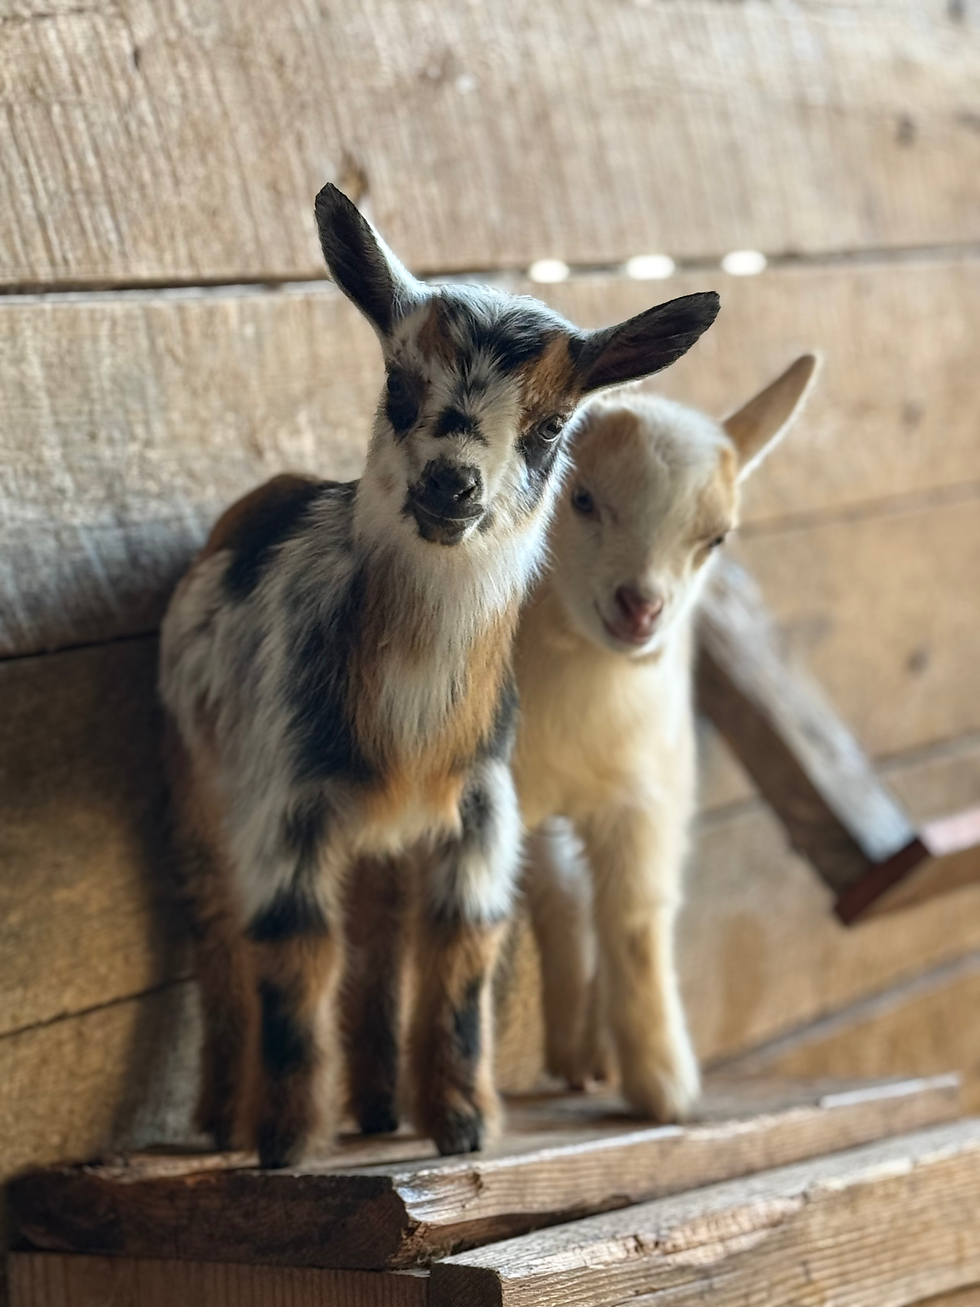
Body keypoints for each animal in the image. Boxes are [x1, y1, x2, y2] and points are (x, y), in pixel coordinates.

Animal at [159, 183, 719, 1165]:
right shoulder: (285, 804)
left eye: (551, 427)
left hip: (379, 839)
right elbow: (291, 955)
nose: (452, 484)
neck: (410, 719)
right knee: (220, 935)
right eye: (398, 386)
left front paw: (460, 1126)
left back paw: (382, 1107)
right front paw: (286, 1142)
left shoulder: (481, 808)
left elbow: (461, 952)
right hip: (198, 784)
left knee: (382, 933)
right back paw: (224, 1118)